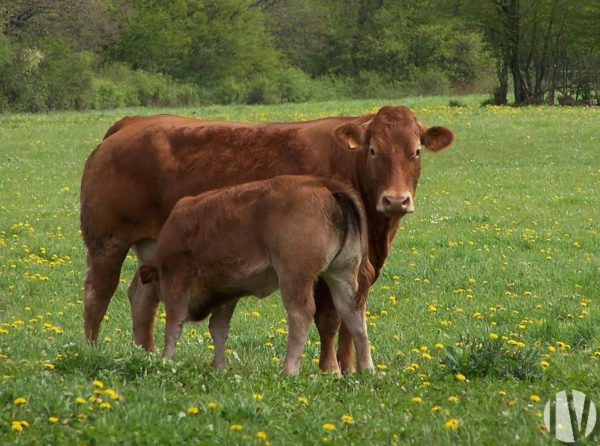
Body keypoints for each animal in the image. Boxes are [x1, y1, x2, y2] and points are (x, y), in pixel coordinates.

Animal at [141, 176, 376, 374]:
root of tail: (324, 185)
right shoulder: (228, 292)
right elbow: (218, 327)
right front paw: (220, 367)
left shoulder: (176, 278)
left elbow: (175, 321)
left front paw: (165, 361)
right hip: (341, 274)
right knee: (354, 314)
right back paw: (367, 369)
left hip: (294, 276)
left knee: (301, 313)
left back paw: (288, 371)